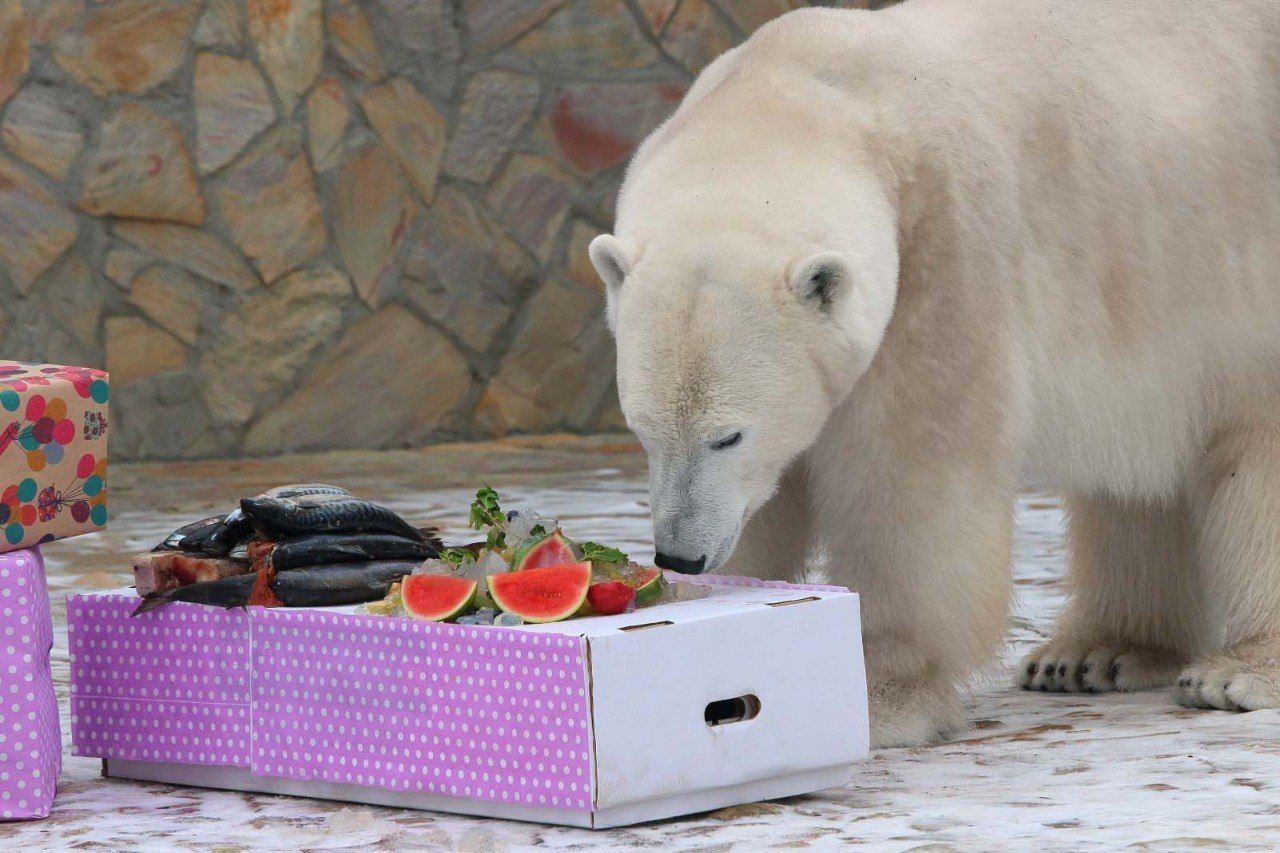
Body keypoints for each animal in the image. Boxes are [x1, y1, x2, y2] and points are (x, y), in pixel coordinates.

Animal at [591, 0, 1280, 742]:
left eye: (728, 435)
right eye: (643, 430)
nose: (679, 554)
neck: (814, 96)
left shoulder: (946, 249)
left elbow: (910, 478)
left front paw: (881, 694)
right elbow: (769, 507)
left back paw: (1234, 671)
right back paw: (1094, 652)